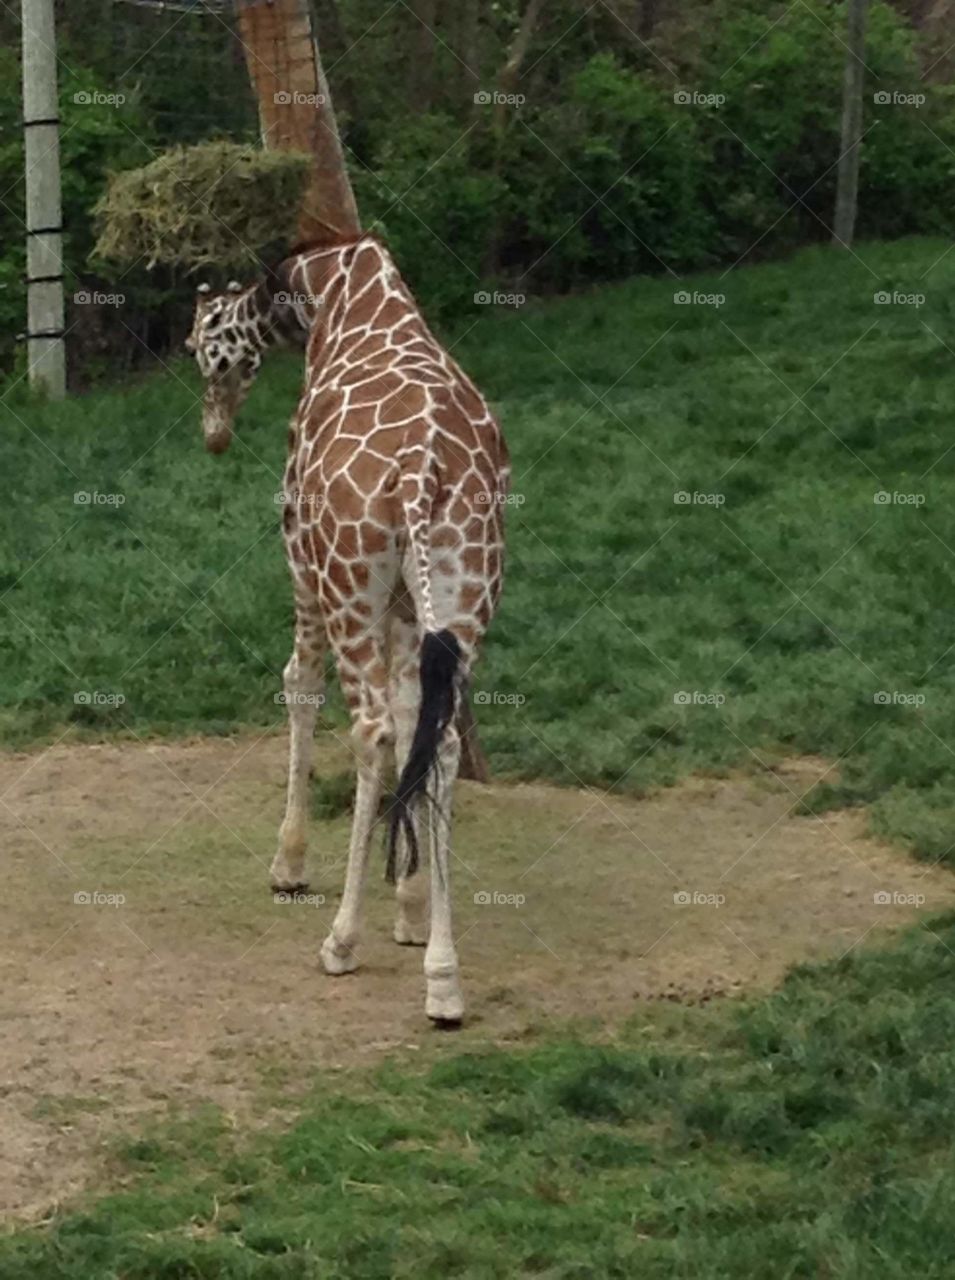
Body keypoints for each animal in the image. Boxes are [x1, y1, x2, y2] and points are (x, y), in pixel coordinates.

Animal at [186, 235, 510, 1024]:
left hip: (345, 583)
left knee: (370, 730)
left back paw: (341, 940)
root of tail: (421, 474)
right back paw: (444, 978)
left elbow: (299, 683)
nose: (214, 435)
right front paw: (411, 907)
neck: (325, 287)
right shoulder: (406, 606)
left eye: (198, 345)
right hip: (462, 587)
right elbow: (415, 718)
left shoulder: (301, 560)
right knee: (437, 738)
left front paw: (289, 864)